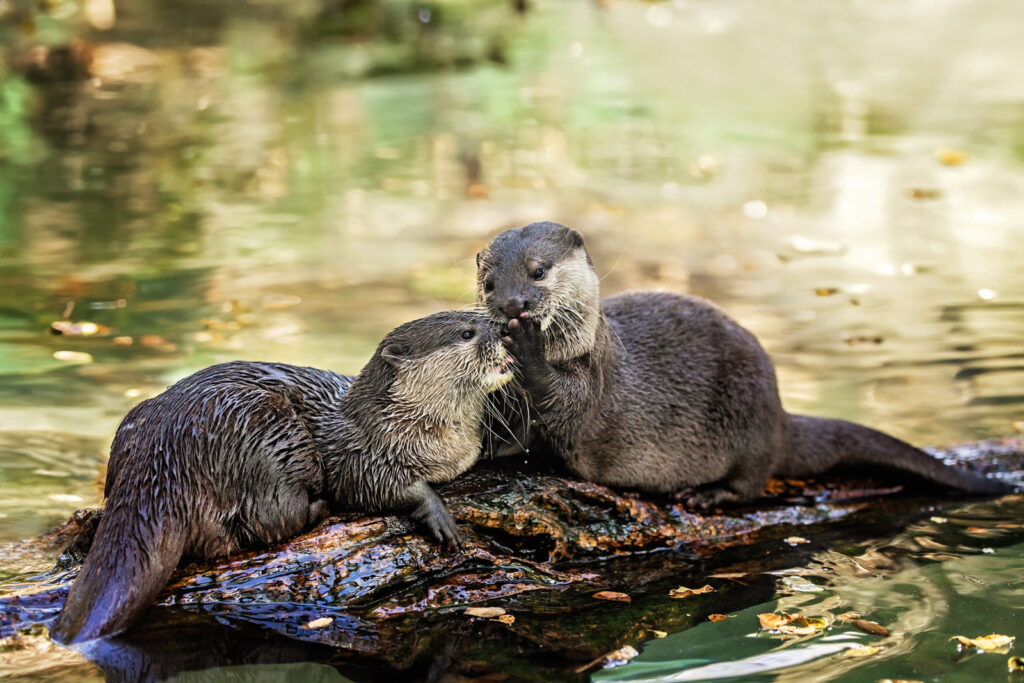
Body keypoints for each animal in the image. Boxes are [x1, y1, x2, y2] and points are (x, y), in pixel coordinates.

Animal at [51, 311, 514, 644]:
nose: (505, 326)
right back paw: (319, 506)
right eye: (467, 332)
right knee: (267, 523)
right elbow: (376, 485)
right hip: (268, 434)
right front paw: (438, 513)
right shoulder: (358, 451)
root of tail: (164, 453)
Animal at [477, 222, 1014, 506]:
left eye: (537, 272)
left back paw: (711, 495)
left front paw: (527, 348)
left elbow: (566, 405)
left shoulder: (593, 378)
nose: (511, 305)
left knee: (754, 481)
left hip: (747, 416)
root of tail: (779, 415)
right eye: (489, 283)